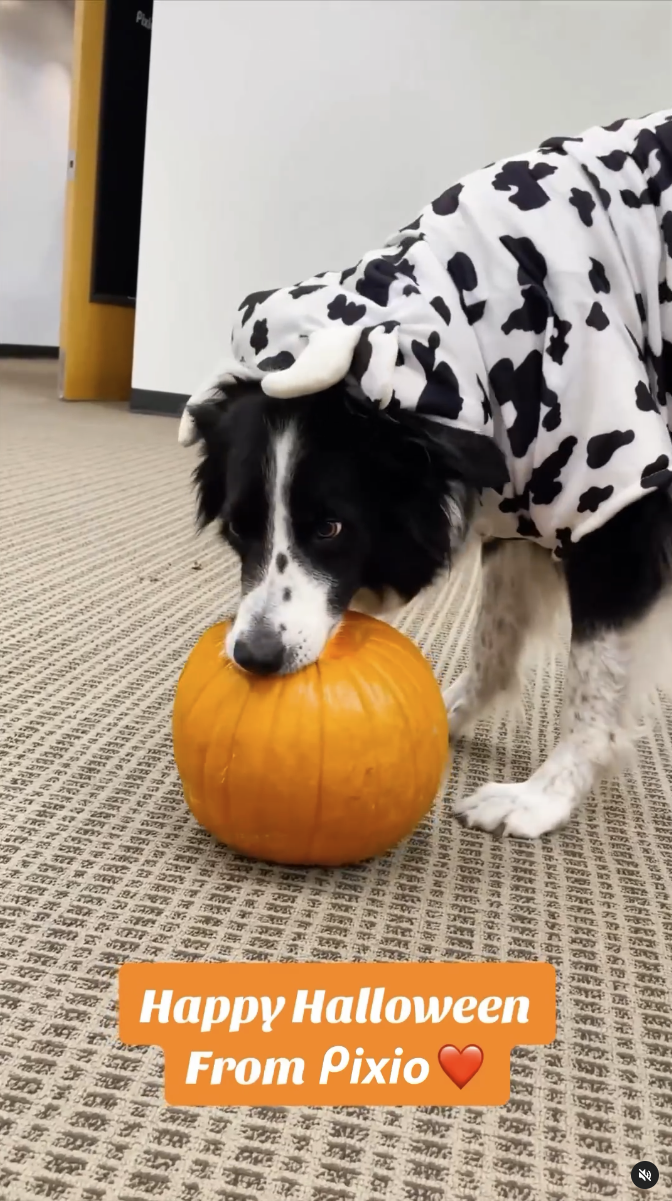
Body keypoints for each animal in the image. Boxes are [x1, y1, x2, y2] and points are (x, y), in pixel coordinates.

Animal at [178, 114, 672, 845]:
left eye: (331, 527)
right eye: (240, 527)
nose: (256, 655)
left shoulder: (616, 496)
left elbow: (595, 676)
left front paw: (541, 797)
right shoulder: (520, 489)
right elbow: (496, 632)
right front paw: (451, 714)